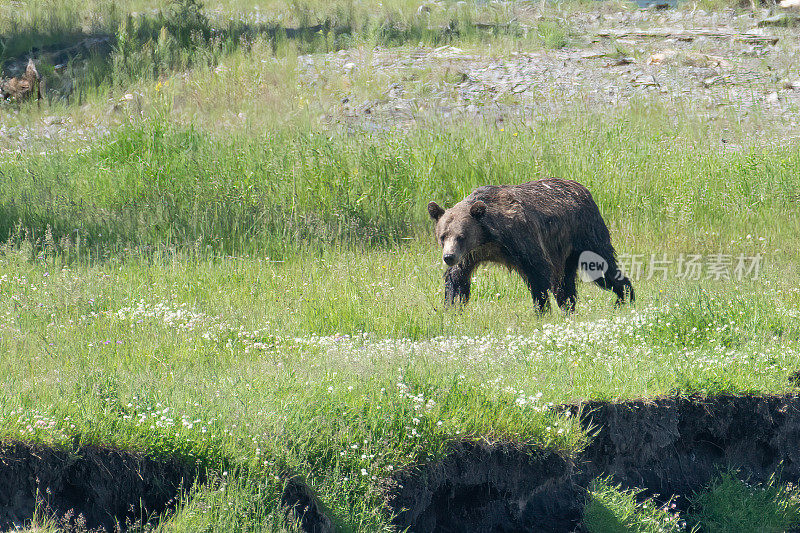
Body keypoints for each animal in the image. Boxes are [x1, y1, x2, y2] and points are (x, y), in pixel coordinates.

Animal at [428, 179, 636, 312]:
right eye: (443, 236)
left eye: (461, 236)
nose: (448, 257)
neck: (488, 237)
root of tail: (583, 188)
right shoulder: (471, 254)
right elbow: (457, 279)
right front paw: (452, 307)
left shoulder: (520, 237)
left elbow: (538, 272)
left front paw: (541, 309)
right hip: (563, 252)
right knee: (564, 284)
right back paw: (569, 307)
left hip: (585, 233)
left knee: (602, 268)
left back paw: (625, 297)